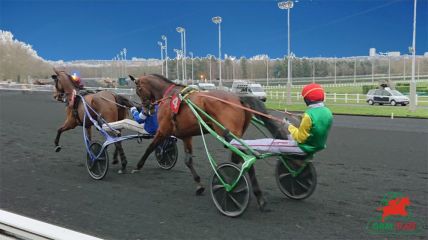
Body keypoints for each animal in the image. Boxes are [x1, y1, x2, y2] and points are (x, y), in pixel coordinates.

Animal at [130, 73, 284, 210]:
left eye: (138, 90)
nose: (145, 109)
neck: (169, 96)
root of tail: (237, 97)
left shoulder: (163, 130)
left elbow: (150, 147)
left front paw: (138, 166)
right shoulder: (186, 135)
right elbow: (188, 160)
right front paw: (199, 185)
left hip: (227, 132)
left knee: (246, 158)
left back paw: (252, 193)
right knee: (238, 156)